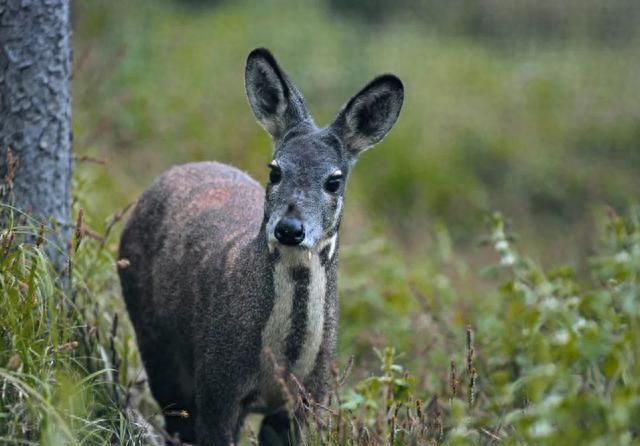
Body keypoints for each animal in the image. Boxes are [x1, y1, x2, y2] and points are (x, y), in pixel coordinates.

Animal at [117, 48, 402, 446]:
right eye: (275, 170)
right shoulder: (217, 384)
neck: (281, 362)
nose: (289, 229)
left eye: (334, 180)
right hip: (155, 344)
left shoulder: (309, 398)